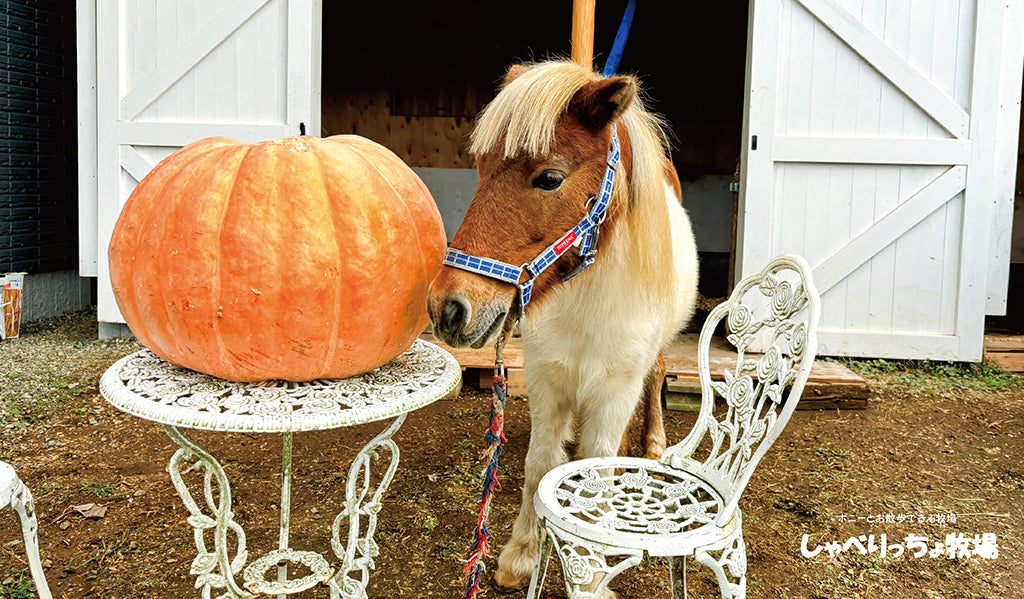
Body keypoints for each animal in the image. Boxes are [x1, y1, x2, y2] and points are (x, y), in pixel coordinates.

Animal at [428, 60, 700, 589]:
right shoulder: (545, 379)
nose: (447, 309)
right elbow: (540, 465)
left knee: (658, 374)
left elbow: (596, 476)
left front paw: (591, 571)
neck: (586, 303)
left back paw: (653, 445)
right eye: (481, 167)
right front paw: (519, 555)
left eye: (550, 178)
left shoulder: (616, 391)